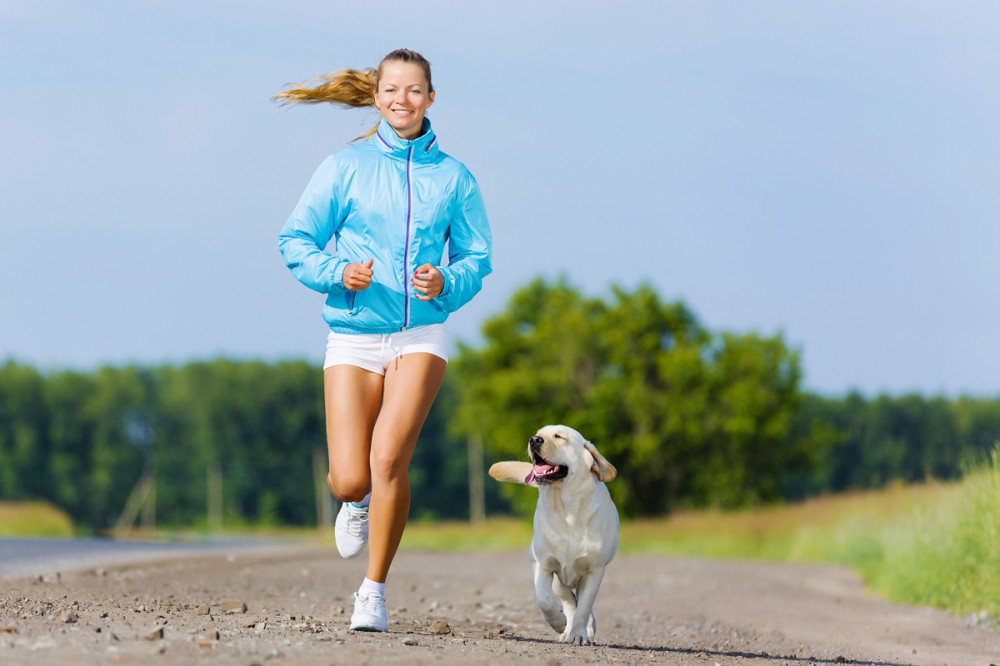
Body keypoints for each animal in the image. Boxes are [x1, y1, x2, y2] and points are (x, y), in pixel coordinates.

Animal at [486, 422, 616, 644]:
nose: (534, 440)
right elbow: (544, 600)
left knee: (582, 604)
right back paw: (566, 629)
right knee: (568, 601)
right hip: (558, 580)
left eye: (559, 437)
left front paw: (580, 635)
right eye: (538, 434)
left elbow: (584, 607)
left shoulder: (594, 570)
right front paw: (560, 623)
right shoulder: (542, 564)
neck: (565, 510)